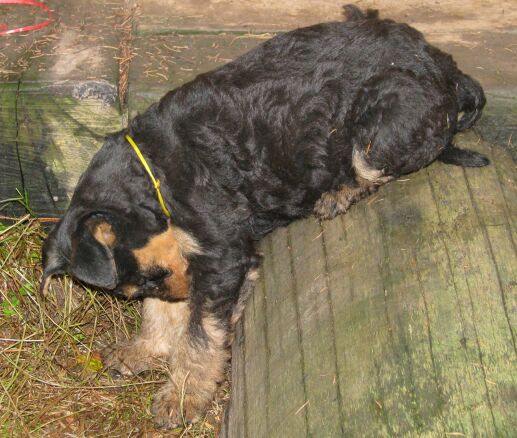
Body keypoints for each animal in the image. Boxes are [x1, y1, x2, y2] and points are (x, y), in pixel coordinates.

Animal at [40, 5, 489, 428]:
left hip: (382, 129)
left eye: (152, 276)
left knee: (377, 168)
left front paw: (181, 398)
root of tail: (446, 70)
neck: (156, 173)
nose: (187, 294)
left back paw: (336, 194)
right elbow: (162, 313)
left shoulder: (222, 256)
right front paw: (143, 349)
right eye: (139, 285)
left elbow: (199, 335)